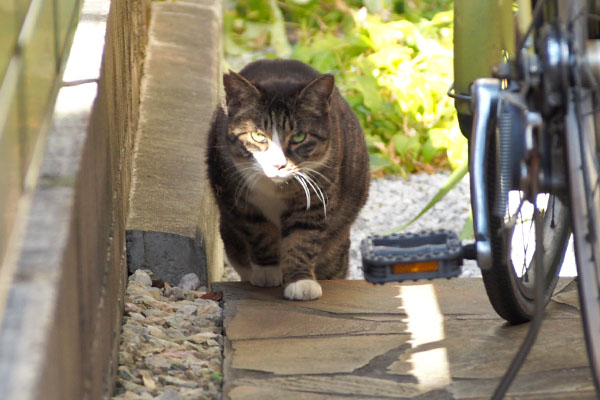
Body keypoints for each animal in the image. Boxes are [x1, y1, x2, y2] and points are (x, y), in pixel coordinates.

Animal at [207, 57, 370, 298]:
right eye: (258, 136)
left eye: (299, 137)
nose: (279, 164)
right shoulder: (239, 199)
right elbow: (260, 234)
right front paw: (268, 272)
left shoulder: (315, 197)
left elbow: (302, 239)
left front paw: (301, 283)